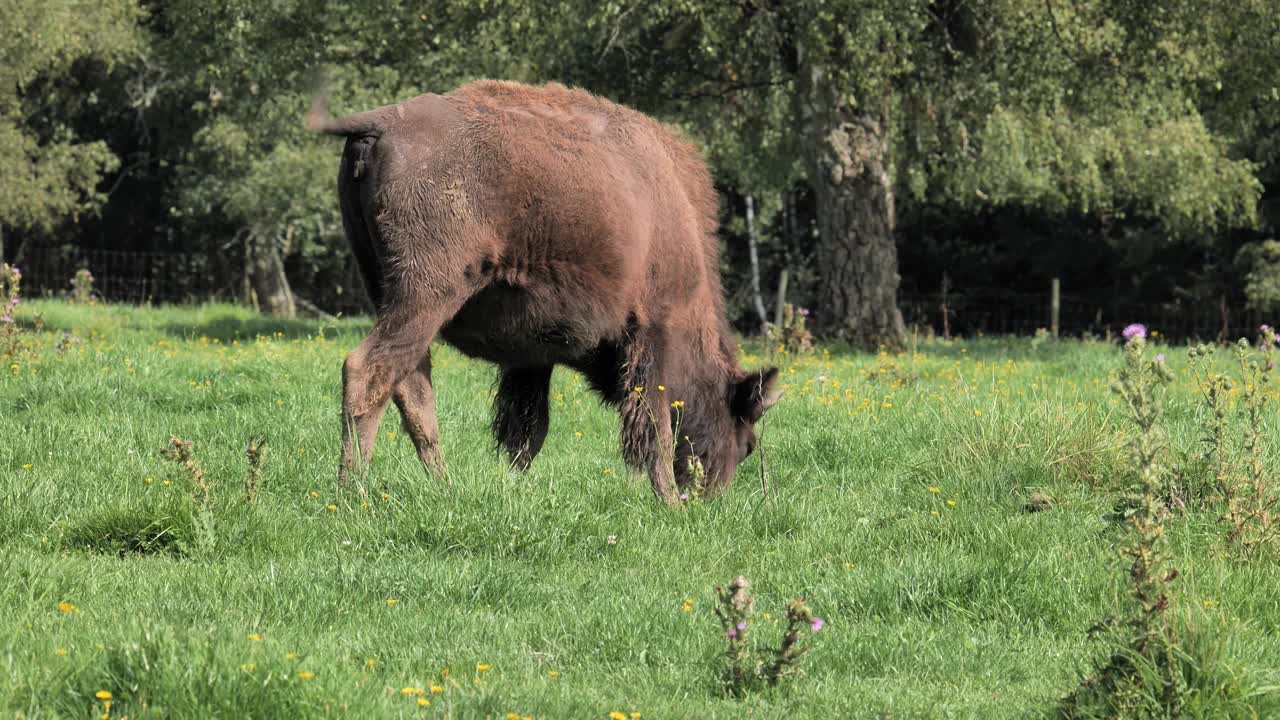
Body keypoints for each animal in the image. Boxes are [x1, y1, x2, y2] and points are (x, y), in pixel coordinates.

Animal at [309, 79, 778, 504]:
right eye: (747, 444)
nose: (706, 500)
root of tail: (384, 121)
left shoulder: (532, 358)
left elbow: (527, 431)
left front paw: (514, 489)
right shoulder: (653, 330)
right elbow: (656, 428)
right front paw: (667, 505)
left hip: (388, 292)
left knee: (412, 386)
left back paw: (444, 487)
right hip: (426, 293)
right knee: (368, 371)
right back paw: (352, 493)